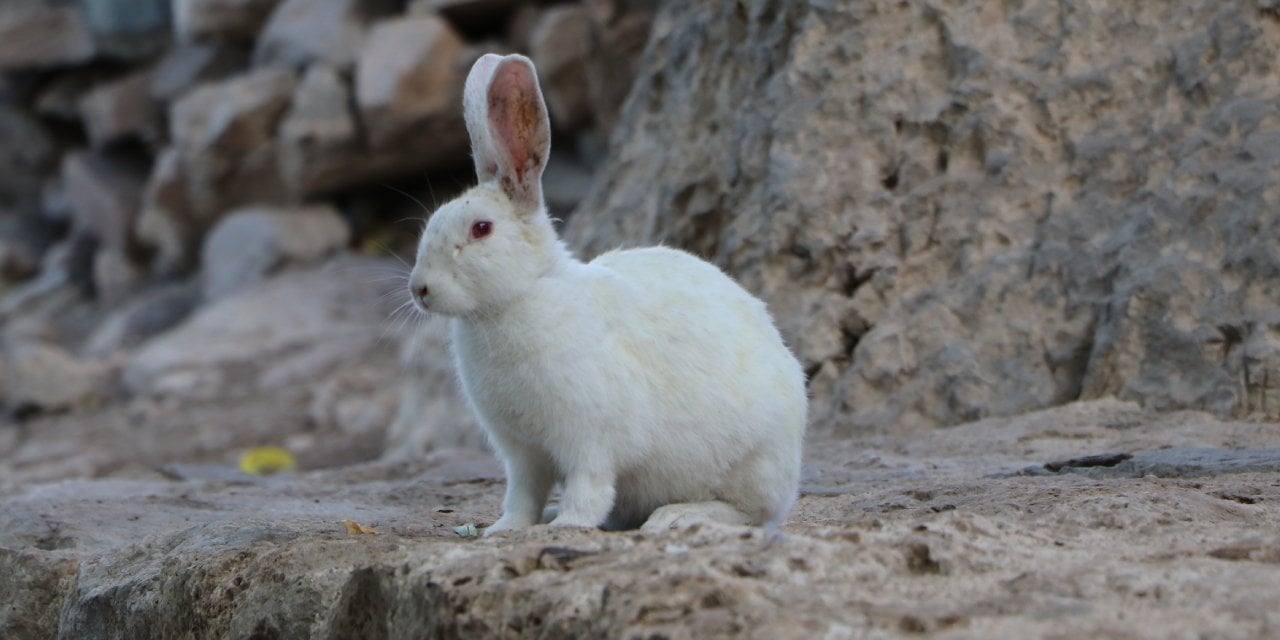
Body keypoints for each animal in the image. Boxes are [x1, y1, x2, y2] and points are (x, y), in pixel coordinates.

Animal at [407, 53, 808, 535]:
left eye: (481, 229)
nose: (420, 289)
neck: (520, 297)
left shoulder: (588, 438)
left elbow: (589, 486)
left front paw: (568, 526)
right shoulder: (522, 454)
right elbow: (522, 494)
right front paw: (506, 529)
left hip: (749, 467)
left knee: (750, 514)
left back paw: (674, 517)